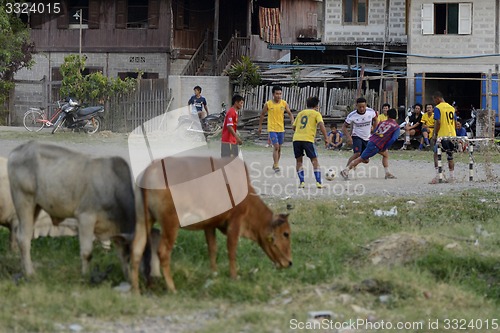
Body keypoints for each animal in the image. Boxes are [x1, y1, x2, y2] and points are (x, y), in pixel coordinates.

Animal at [130, 155, 292, 290]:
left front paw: (214, 273)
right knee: (163, 252)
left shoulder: (209, 225)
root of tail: (150, 169)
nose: (290, 263)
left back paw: (136, 290)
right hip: (170, 223)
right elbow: (231, 250)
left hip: (143, 220)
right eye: (286, 233)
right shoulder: (235, 221)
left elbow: (212, 249)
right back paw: (171, 287)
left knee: (136, 250)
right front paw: (234, 276)